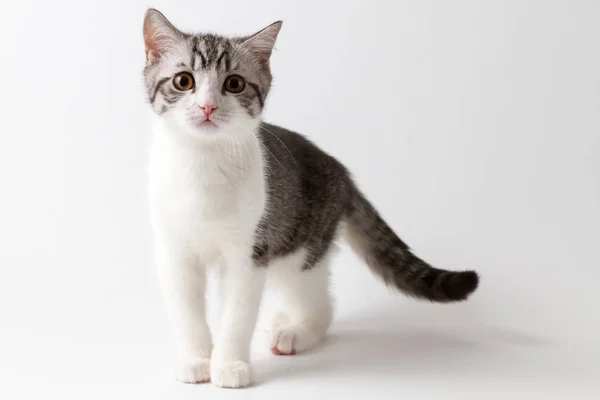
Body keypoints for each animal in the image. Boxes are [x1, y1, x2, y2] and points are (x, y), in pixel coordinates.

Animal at [141, 8, 478, 388]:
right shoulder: (174, 251)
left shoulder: (250, 252)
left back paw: (295, 333)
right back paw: (279, 318)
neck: (202, 165)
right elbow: (185, 312)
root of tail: (341, 171)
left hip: (299, 249)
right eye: (183, 81)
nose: (208, 106)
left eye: (234, 84)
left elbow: (237, 315)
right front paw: (196, 358)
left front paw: (229, 365)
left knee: (320, 305)